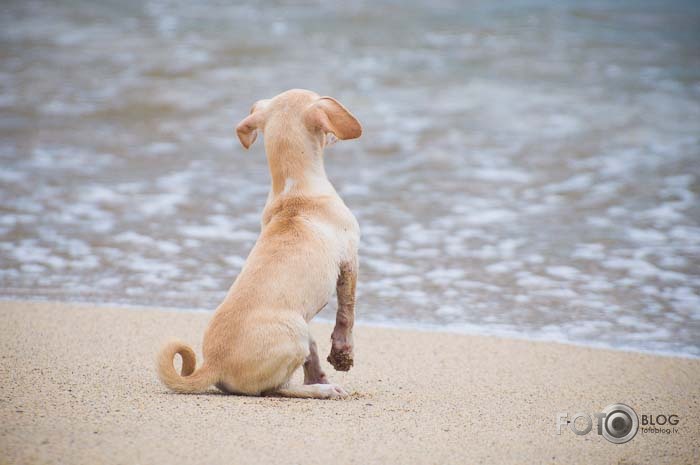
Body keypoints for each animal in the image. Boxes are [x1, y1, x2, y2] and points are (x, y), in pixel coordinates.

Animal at [157, 89, 364, 396]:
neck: (293, 188)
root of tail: (213, 364)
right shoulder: (350, 260)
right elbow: (346, 312)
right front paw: (343, 354)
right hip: (295, 331)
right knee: (277, 389)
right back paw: (321, 390)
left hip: (303, 326)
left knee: (306, 357)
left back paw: (320, 380)